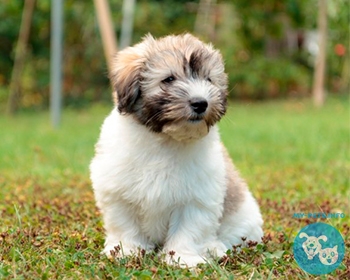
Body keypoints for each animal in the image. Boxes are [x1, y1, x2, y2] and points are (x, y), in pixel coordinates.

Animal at [90, 34, 262, 266]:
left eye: (208, 80)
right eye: (169, 79)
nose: (200, 103)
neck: (165, 140)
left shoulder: (197, 198)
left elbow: (189, 230)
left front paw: (183, 258)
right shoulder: (117, 191)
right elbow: (124, 224)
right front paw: (125, 250)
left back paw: (215, 248)